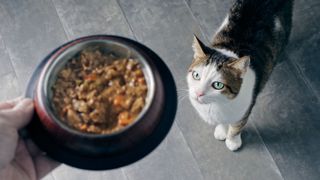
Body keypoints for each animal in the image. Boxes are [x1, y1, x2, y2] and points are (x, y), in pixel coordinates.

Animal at [188, 0, 296, 151]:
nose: (198, 93)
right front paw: (221, 130)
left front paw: (232, 141)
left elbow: (237, 126)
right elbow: (222, 122)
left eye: (218, 85)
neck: (217, 104)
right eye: (196, 75)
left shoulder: (246, 107)